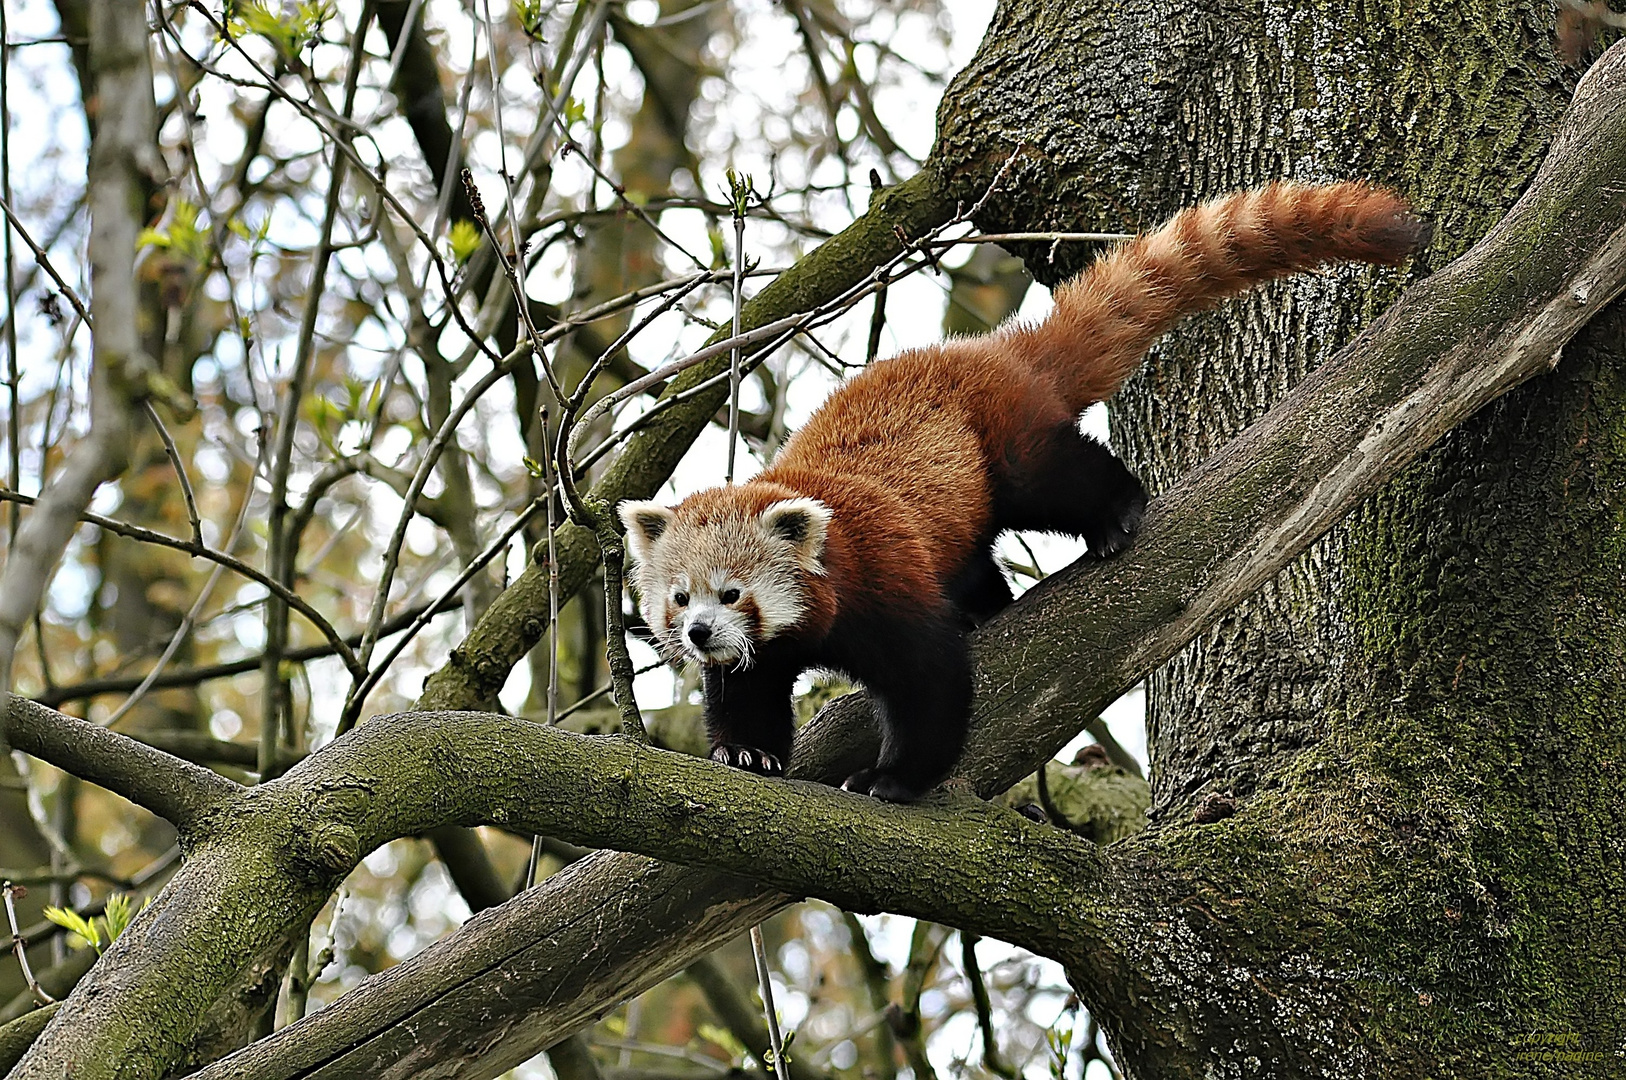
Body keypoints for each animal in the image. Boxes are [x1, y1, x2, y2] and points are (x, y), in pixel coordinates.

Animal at [614, 181, 1430, 796]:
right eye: (679, 599)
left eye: (732, 593)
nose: (697, 633)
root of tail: (993, 349)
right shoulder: (765, 651)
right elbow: (747, 690)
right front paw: (746, 752)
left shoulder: (884, 576)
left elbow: (931, 682)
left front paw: (897, 780)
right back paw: (989, 602)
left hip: (1006, 442)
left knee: (1060, 475)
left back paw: (1116, 514)